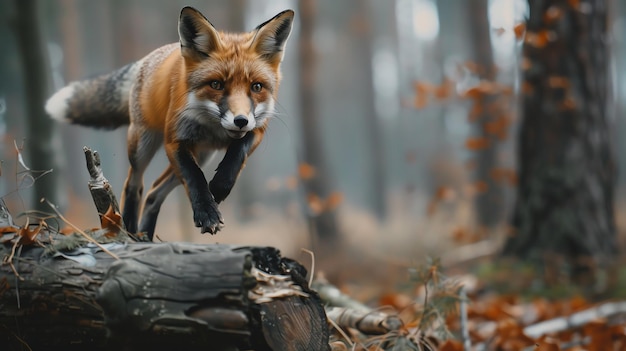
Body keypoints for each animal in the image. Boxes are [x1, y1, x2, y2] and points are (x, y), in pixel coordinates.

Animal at [46, 6, 294, 241]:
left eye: (256, 87)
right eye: (216, 84)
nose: (240, 121)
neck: (214, 129)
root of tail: (149, 57)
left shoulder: (257, 129)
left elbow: (235, 158)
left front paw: (217, 189)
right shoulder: (174, 141)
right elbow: (195, 177)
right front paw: (208, 213)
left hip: (201, 155)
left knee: (154, 192)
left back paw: (146, 236)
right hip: (142, 146)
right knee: (134, 185)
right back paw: (130, 229)